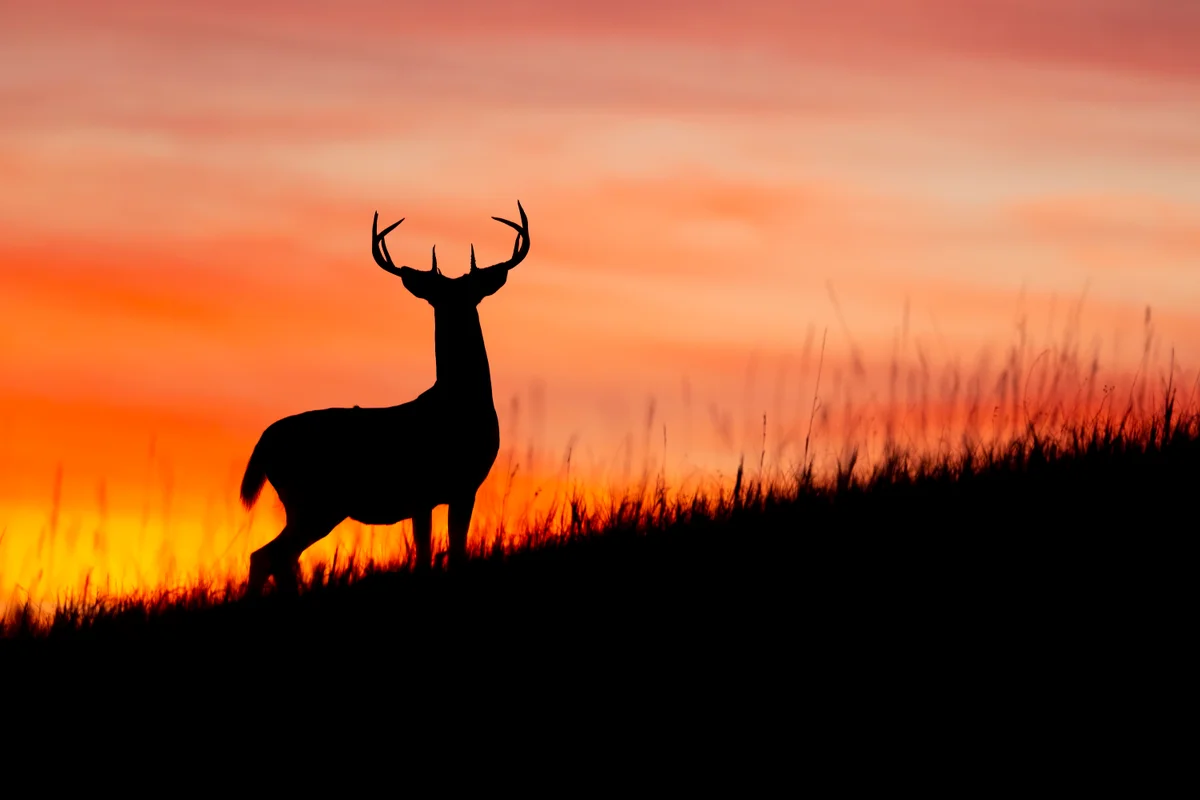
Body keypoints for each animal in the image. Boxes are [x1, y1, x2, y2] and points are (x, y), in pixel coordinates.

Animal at [238, 201, 530, 595]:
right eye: (439, 296)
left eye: (470, 294)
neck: (459, 404)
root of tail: (264, 441)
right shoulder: (433, 489)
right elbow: (432, 555)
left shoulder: (457, 489)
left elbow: (448, 552)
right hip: (314, 499)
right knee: (269, 555)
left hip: (308, 504)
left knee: (275, 556)